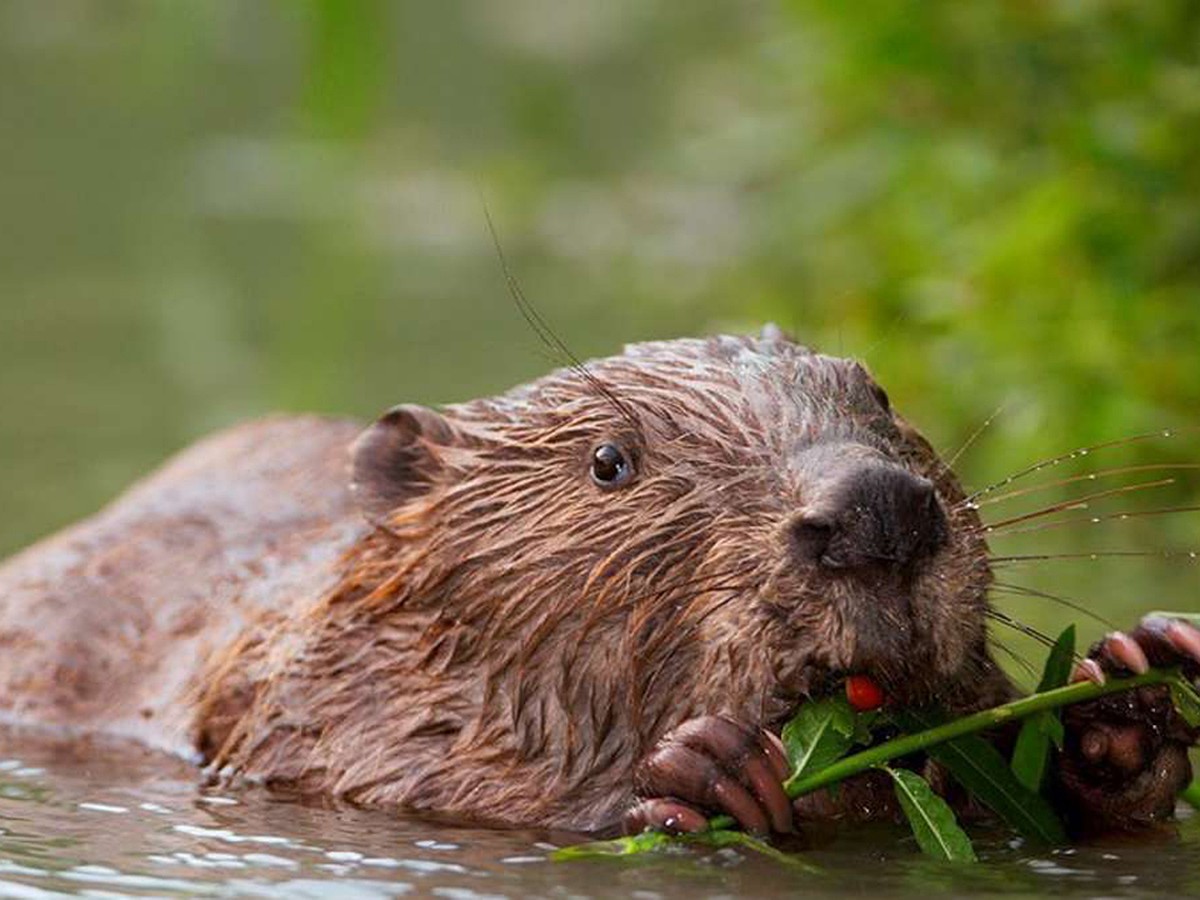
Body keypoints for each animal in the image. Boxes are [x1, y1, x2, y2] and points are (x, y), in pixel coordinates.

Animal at [0, 331, 1195, 840]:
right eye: (610, 462)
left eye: (882, 397)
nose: (876, 511)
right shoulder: (302, 702)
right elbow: (391, 771)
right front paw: (709, 771)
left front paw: (1128, 688)